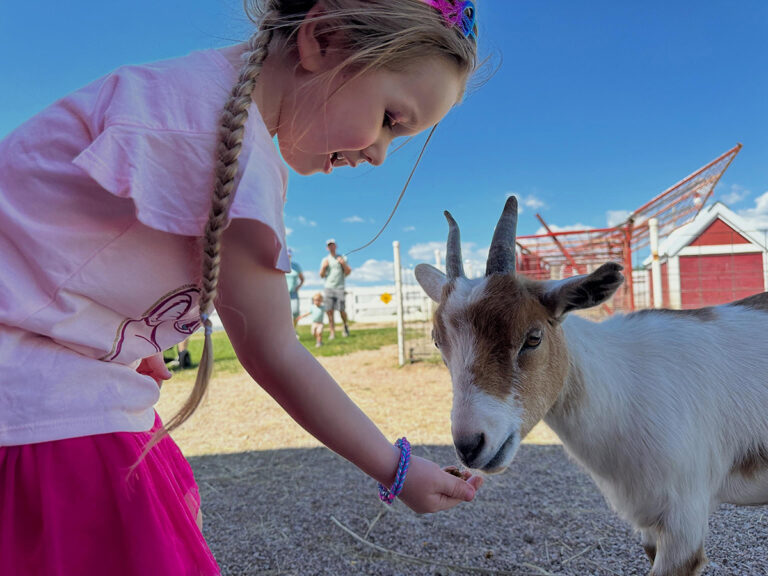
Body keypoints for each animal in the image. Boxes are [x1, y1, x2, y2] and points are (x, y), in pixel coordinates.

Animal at [415, 196, 768, 576]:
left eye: (533, 337)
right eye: (438, 342)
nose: (470, 445)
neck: (625, 386)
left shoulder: (684, 521)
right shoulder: (649, 523)